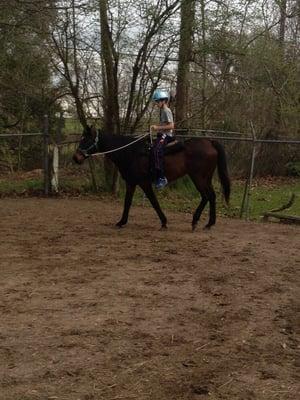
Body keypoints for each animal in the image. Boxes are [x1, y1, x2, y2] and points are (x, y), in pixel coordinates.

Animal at [73, 126, 232, 230]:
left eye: (86, 139)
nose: (76, 157)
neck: (130, 152)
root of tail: (210, 142)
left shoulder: (144, 183)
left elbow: (154, 202)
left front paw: (164, 222)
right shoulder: (131, 183)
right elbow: (127, 202)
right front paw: (121, 222)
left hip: (198, 177)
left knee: (206, 196)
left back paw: (195, 221)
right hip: (206, 178)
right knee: (212, 196)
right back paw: (209, 223)